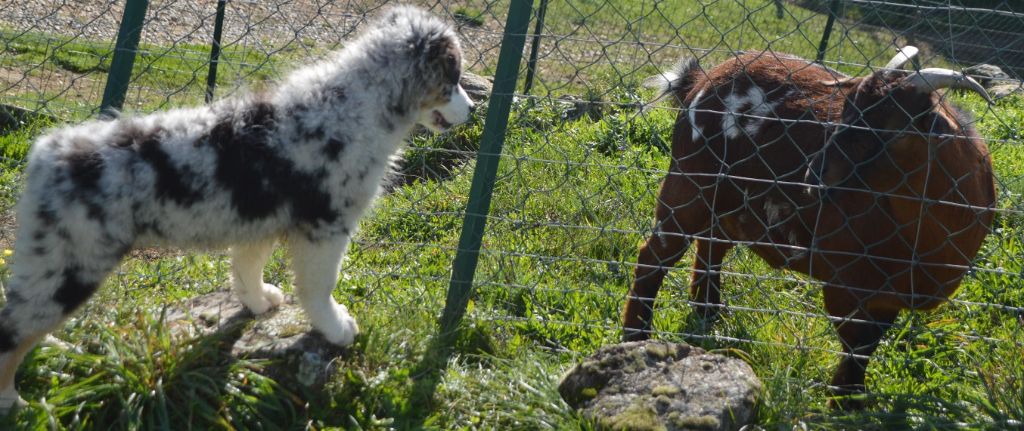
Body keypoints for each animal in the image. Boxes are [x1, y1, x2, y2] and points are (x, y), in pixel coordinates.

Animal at [0, 6, 471, 409]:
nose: (472, 108)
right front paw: (337, 328)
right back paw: (12, 399)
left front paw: (260, 303)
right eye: (454, 78)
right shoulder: (325, 225)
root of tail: (46, 151)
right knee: (13, 328)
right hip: (68, 264)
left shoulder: (259, 220)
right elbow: (319, 287)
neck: (362, 104)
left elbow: (248, 267)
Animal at [626, 47, 995, 407]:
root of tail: (702, 79)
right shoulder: (845, 285)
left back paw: (707, 313)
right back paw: (636, 336)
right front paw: (842, 403)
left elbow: (869, 346)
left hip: (728, 202)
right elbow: (856, 345)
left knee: (712, 243)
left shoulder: (889, 299)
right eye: (846, 110)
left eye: (890, 125)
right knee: (654, 256)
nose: (815, 175)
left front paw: (852, 400)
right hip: (689, 184)